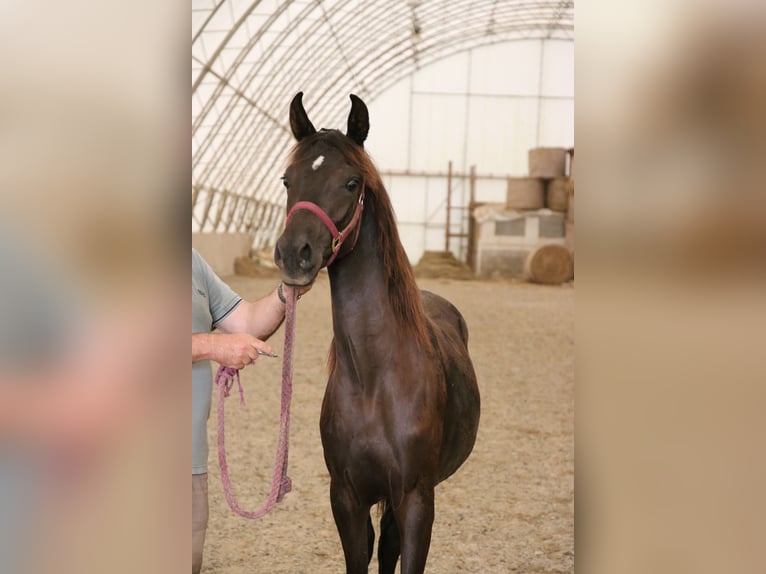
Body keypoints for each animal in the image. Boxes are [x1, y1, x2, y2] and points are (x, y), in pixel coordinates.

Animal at [274, 92, 480, 572]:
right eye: (288, 180)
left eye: (351, 182)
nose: (294, 254)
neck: (374, 381)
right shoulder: (346, 498)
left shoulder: (417, 499)